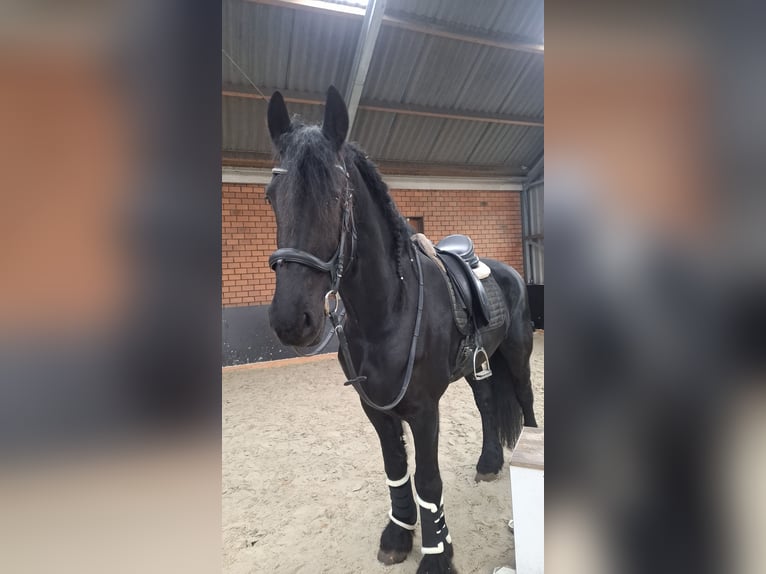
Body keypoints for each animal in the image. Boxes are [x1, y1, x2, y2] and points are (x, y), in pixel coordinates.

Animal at [265, 86, 537, 574]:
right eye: (270, 196)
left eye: (336, 195)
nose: (291, 321)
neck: (386, 313)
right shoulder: (376, 408)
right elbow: (396, 470)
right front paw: (398, 533)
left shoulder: (424, 409)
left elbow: (428, 480)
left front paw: (436, 554)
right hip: (477, 366)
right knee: (488, 404)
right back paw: (489, 462)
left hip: (518, 353)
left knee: (526, 403)